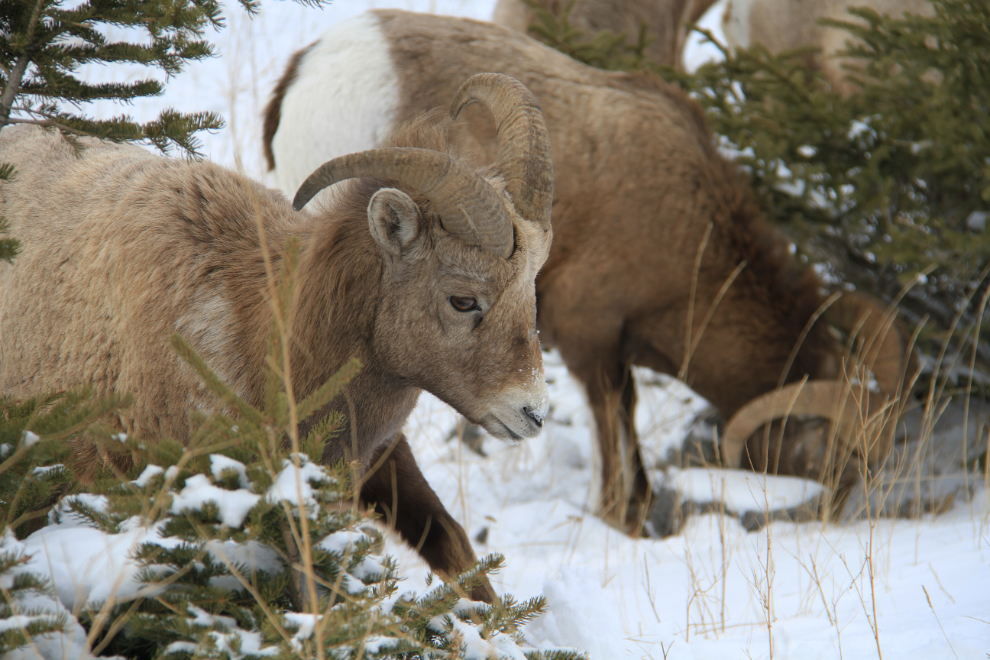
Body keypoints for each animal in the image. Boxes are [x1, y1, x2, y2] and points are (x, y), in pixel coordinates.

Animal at [0, 73, 560, 604]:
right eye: (463, 300)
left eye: (529, 291)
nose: (532, 414)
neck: (253, 336)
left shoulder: (376, 458)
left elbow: (450, 541)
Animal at [266, 10, 924, 532]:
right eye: (838, 454)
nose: (837, 514)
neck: (687, 228)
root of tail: (305, 69)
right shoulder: (593, 345)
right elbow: (616, 440)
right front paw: (622, 520)